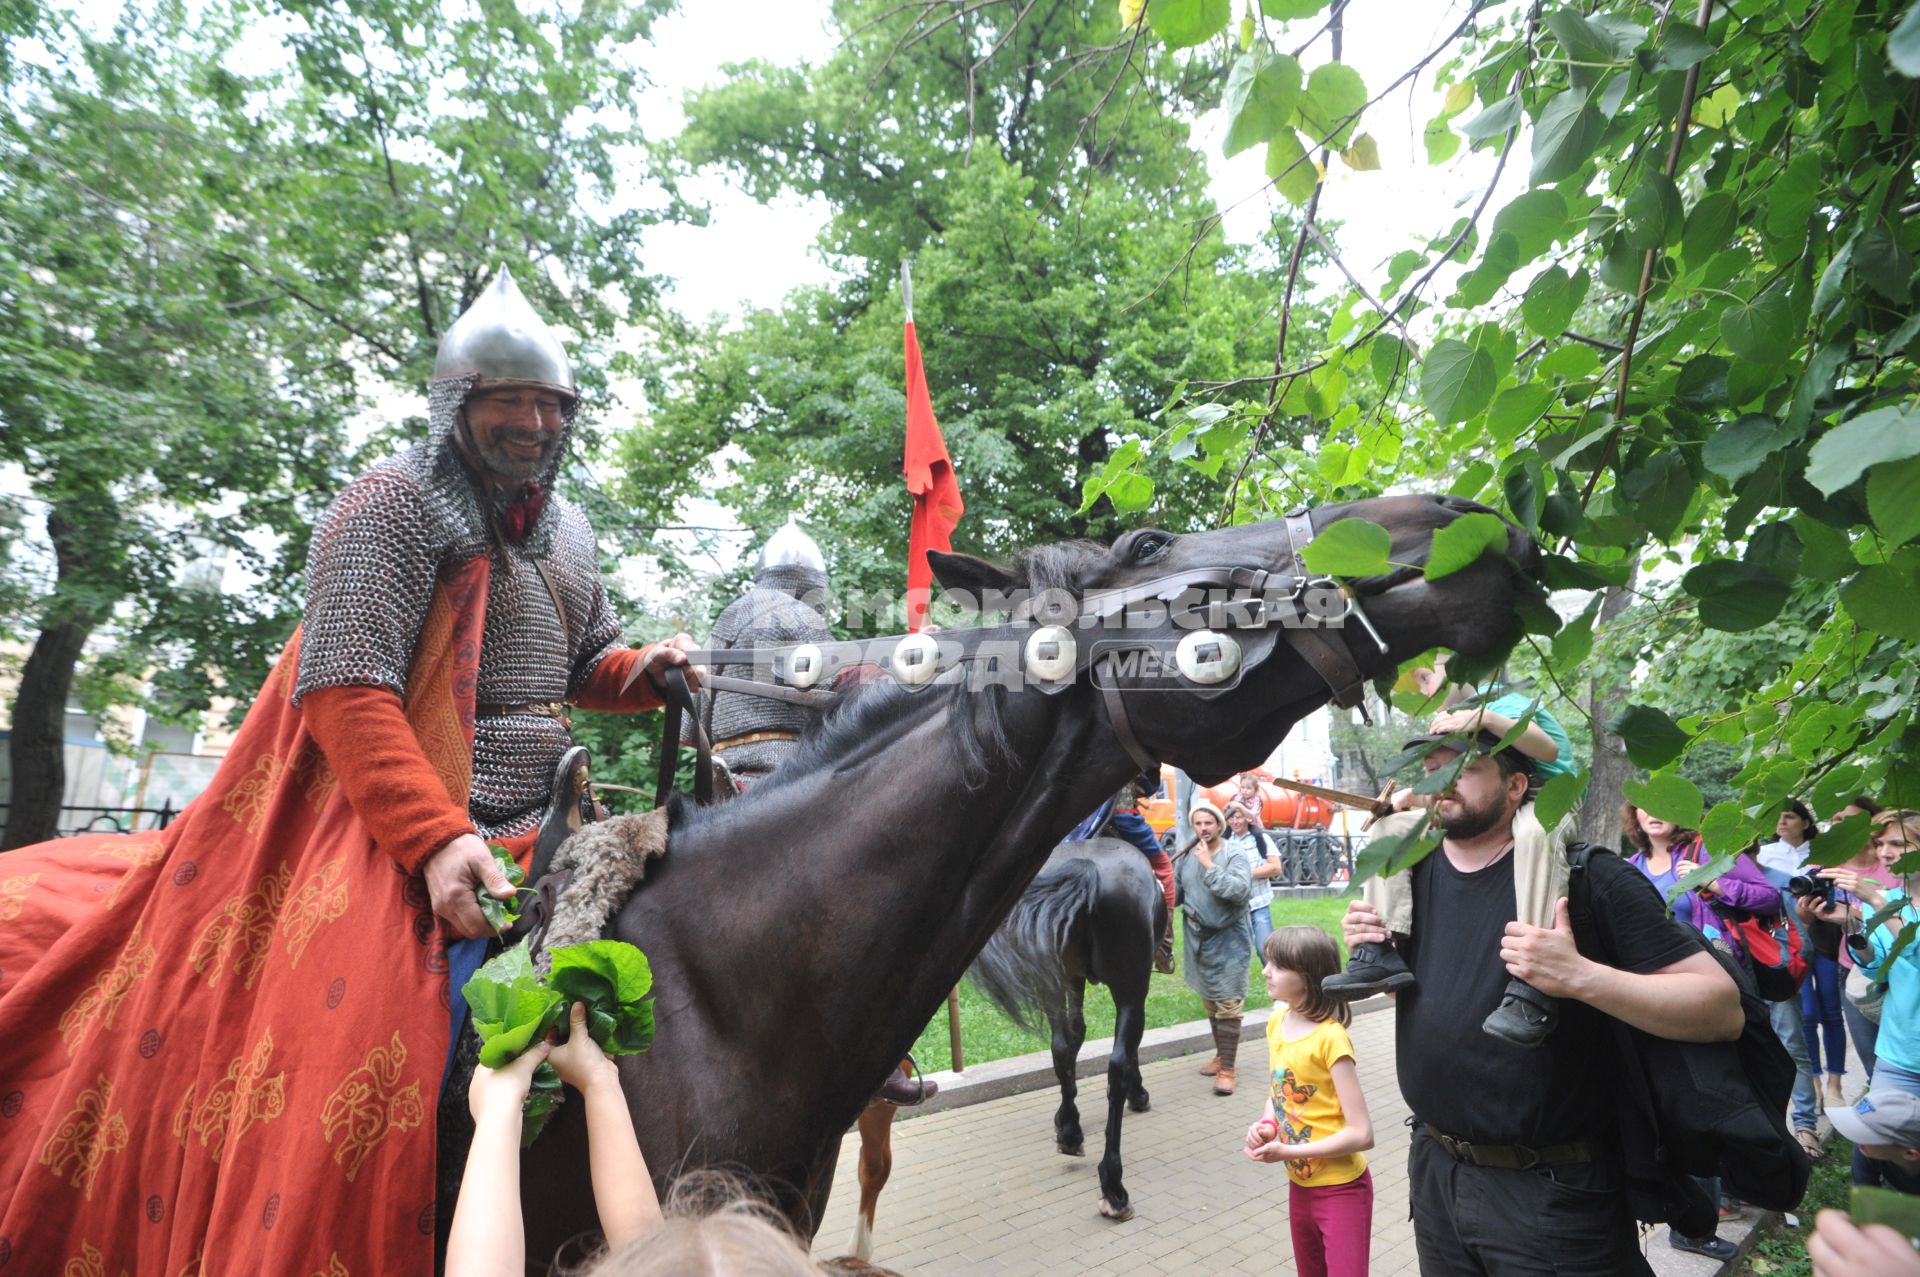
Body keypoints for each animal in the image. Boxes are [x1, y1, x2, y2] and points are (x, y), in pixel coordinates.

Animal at [967, 837, 1159, 1213]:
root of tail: (1087, 868)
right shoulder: (1134, 995)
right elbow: (1129, 1052)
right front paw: (1138, 1093)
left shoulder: (1073, 978)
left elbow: (1075, 1034)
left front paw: (1063, 1120)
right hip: (1130, 988)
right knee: (1116, 1066)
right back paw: (1113, 1185)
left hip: (1056, 979)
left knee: (1060, 1046)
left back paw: (1070, 1132)